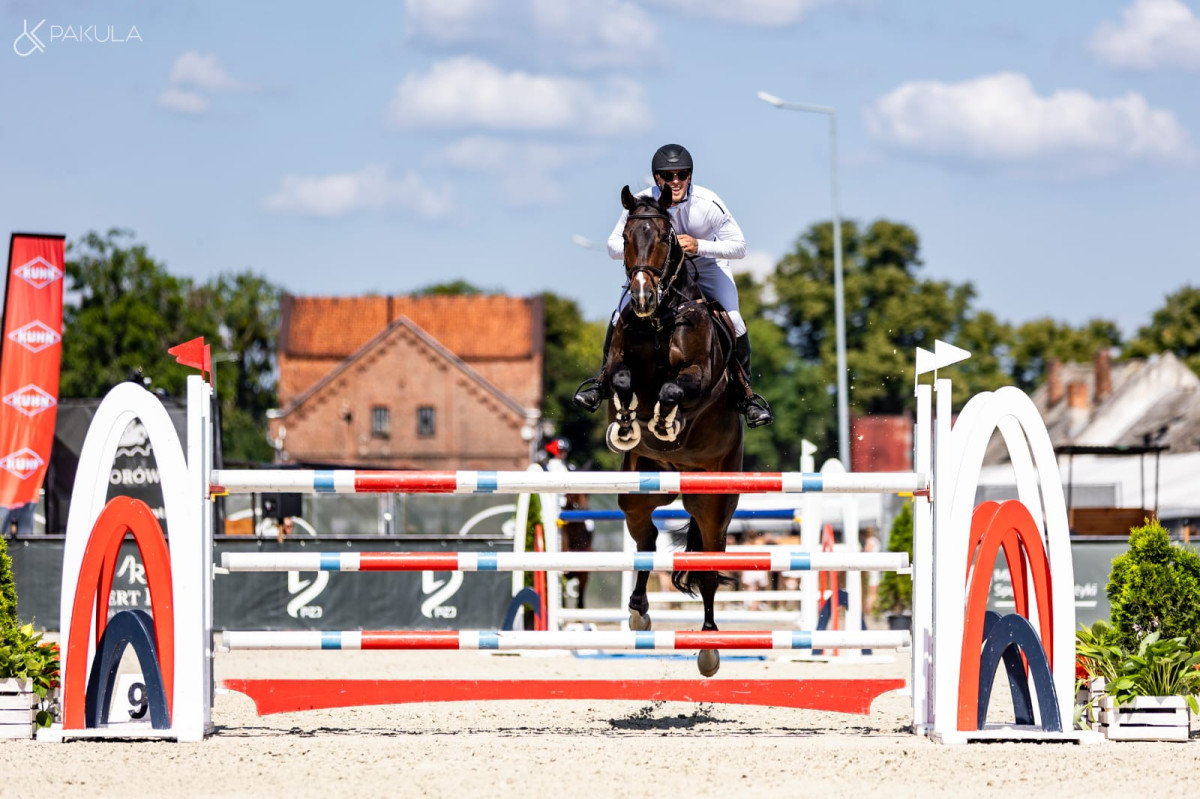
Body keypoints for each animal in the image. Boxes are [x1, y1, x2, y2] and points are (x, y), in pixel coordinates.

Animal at [602, 185, 744, 677]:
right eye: (628, 237)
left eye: (666, 238)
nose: (642, 297)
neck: (661, 321)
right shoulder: (619, 363)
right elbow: (622, 380)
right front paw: (626, 424)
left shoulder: (700, 378)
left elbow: (672, 389)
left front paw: (665, 422)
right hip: (641, 490)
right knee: (646, 539)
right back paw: (638, 612)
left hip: (714, 502)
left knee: (708, 564)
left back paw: (709, 649)